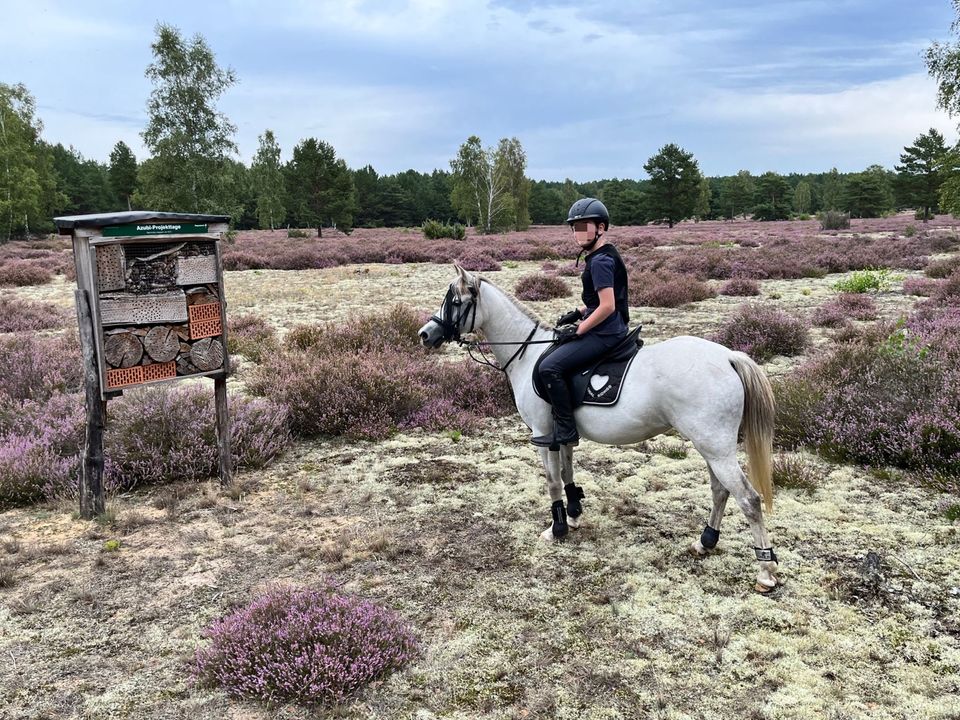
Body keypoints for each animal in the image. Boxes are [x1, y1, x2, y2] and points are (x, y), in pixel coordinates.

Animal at [418, 268, 780, 592]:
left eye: (454, 301)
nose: (425, 334)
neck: (528, 354)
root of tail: (728, 356)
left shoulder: (541, 435)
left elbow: (552, 482)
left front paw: (557, 528)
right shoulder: (561, 434)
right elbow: (567, 474)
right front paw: (574, 514)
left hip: (715, 448)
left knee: (748, 499)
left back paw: (765, 572)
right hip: (710, 447)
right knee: (720, 492)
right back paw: (705, 542)